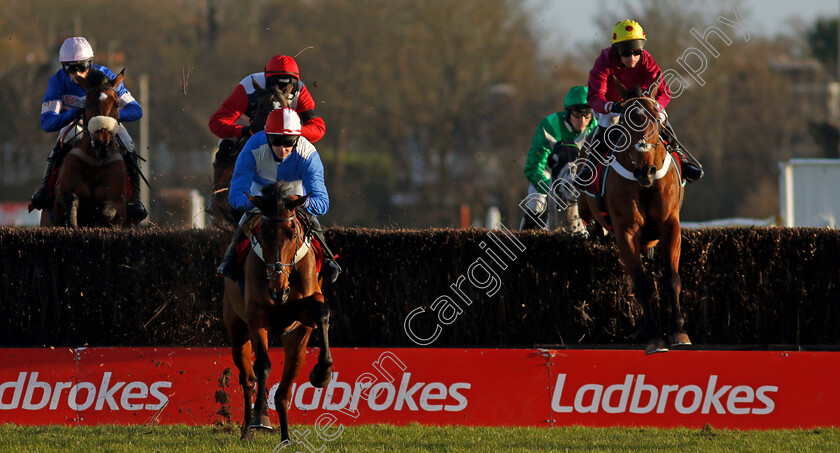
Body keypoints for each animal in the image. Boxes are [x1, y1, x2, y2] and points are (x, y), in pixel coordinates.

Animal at [223, 181, 334, 442]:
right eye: (263, 233)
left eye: (292, 233)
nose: (278, 290)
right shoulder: (256, 316)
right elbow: (262, 365)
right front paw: (260, 418)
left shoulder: (304, 314)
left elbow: (322, 313)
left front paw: (322, 372)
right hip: (236, 328)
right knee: (248, 378)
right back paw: (247, 427)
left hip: (295, 339)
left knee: (285, 387)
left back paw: (285, 437)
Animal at [580, 81, 692, 354]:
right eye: (627, 123)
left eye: (656, 119)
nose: (645, 171)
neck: (645, 184)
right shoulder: (626, 231)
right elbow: (641, 285)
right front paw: (653, 337)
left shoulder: (670, 224)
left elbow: (672, 278)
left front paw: (678, 331)